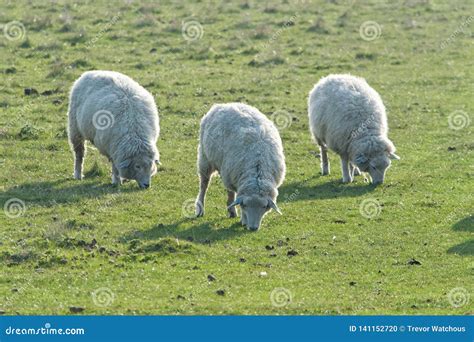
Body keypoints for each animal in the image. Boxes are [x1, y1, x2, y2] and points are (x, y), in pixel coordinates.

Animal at [195, 101, 286, 230]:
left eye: (264, 206)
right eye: (245, 205)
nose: (253, 228)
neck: (257, 168)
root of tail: (225, 104)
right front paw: (244, 220)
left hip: (228, 171)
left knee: (230, 191)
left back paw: (232, 210)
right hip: (205, 159)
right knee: (204, 185)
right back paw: (200, 208)